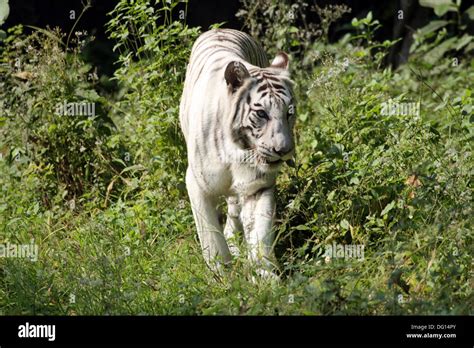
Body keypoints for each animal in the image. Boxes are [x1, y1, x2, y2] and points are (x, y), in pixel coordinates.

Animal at [179, 27, 294, 278]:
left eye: (289, 112)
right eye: (261, 114)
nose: (283, 150)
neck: (238, 151)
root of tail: (221, 29)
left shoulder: (257, 186)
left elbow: (259, 232)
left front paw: (265, 275)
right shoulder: (196, 184)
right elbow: (210, 236)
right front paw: (222, 275)